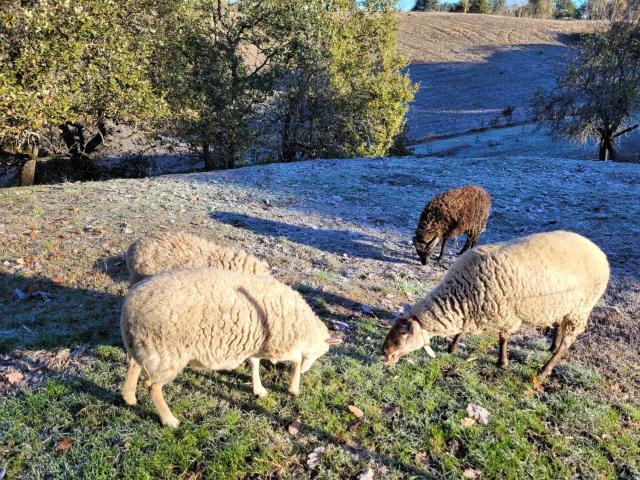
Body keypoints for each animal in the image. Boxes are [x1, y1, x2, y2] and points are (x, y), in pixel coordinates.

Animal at [120, 266, 340, 428]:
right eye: (321, 354)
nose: (306, 371)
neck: (304, 327)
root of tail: (129, 306)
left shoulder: (258, 344)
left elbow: (255, 364)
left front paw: (259, 389)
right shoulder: (279, 345)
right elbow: (295, 360)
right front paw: (294, 387)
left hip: (144, 345)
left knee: (134, 366)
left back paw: (129, 398)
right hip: (168, 352)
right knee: (153, 387)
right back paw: (169, 420)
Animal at [382, 231, 608, 380]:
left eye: (402, 336)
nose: (384, 353)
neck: (461, 291)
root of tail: (598, 252)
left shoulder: (507, 314)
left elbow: (503, 338)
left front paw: (502, 363)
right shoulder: (470, 308)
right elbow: (462, 330)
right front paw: (452, 347)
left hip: (581, 308)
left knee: (567, 343)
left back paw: (545, 369)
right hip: (565, 306)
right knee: (560, 324)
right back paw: (552, 345)